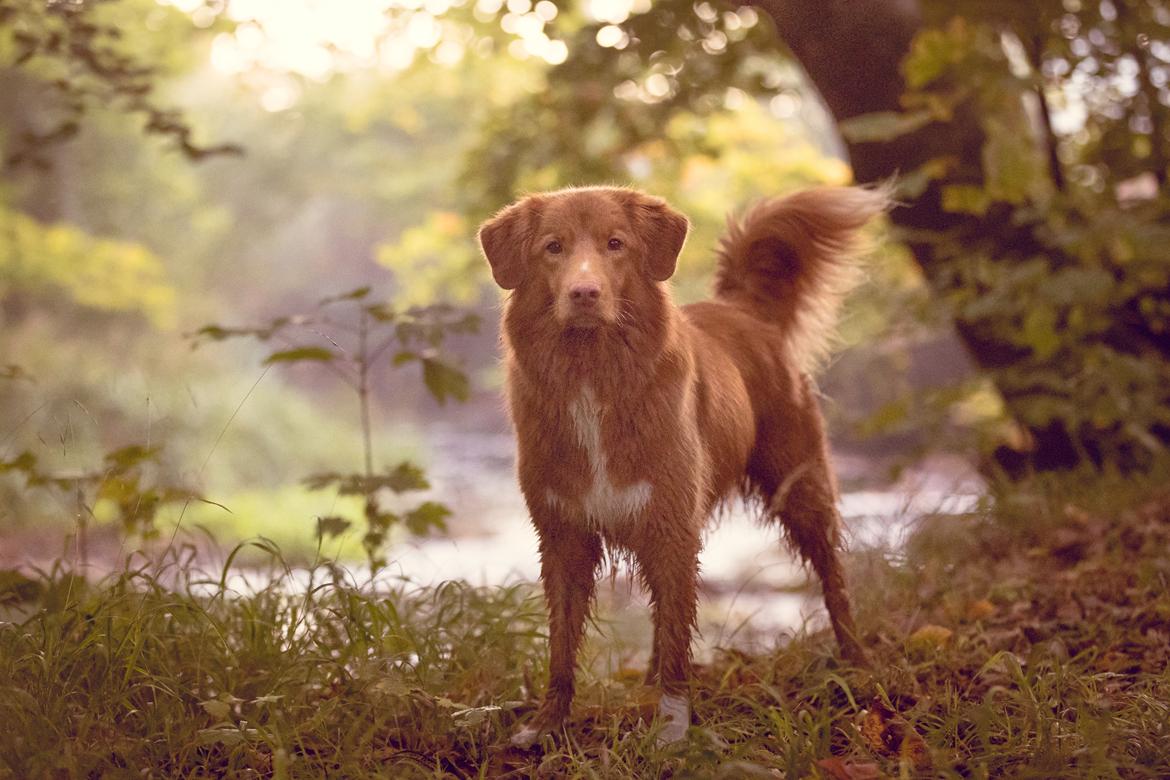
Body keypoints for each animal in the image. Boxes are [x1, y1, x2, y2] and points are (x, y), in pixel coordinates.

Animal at [479, 184, 879, 748]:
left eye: (616, 244)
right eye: (553, 248)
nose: (584, 293)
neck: (592, 375)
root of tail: (742, 309)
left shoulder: (671, 525)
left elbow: (675, 638)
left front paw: (672, 729)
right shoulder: (563, 534)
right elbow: (562, 643)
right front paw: (546, 725)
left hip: (802, 490)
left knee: (834, 582)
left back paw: (857, 664)